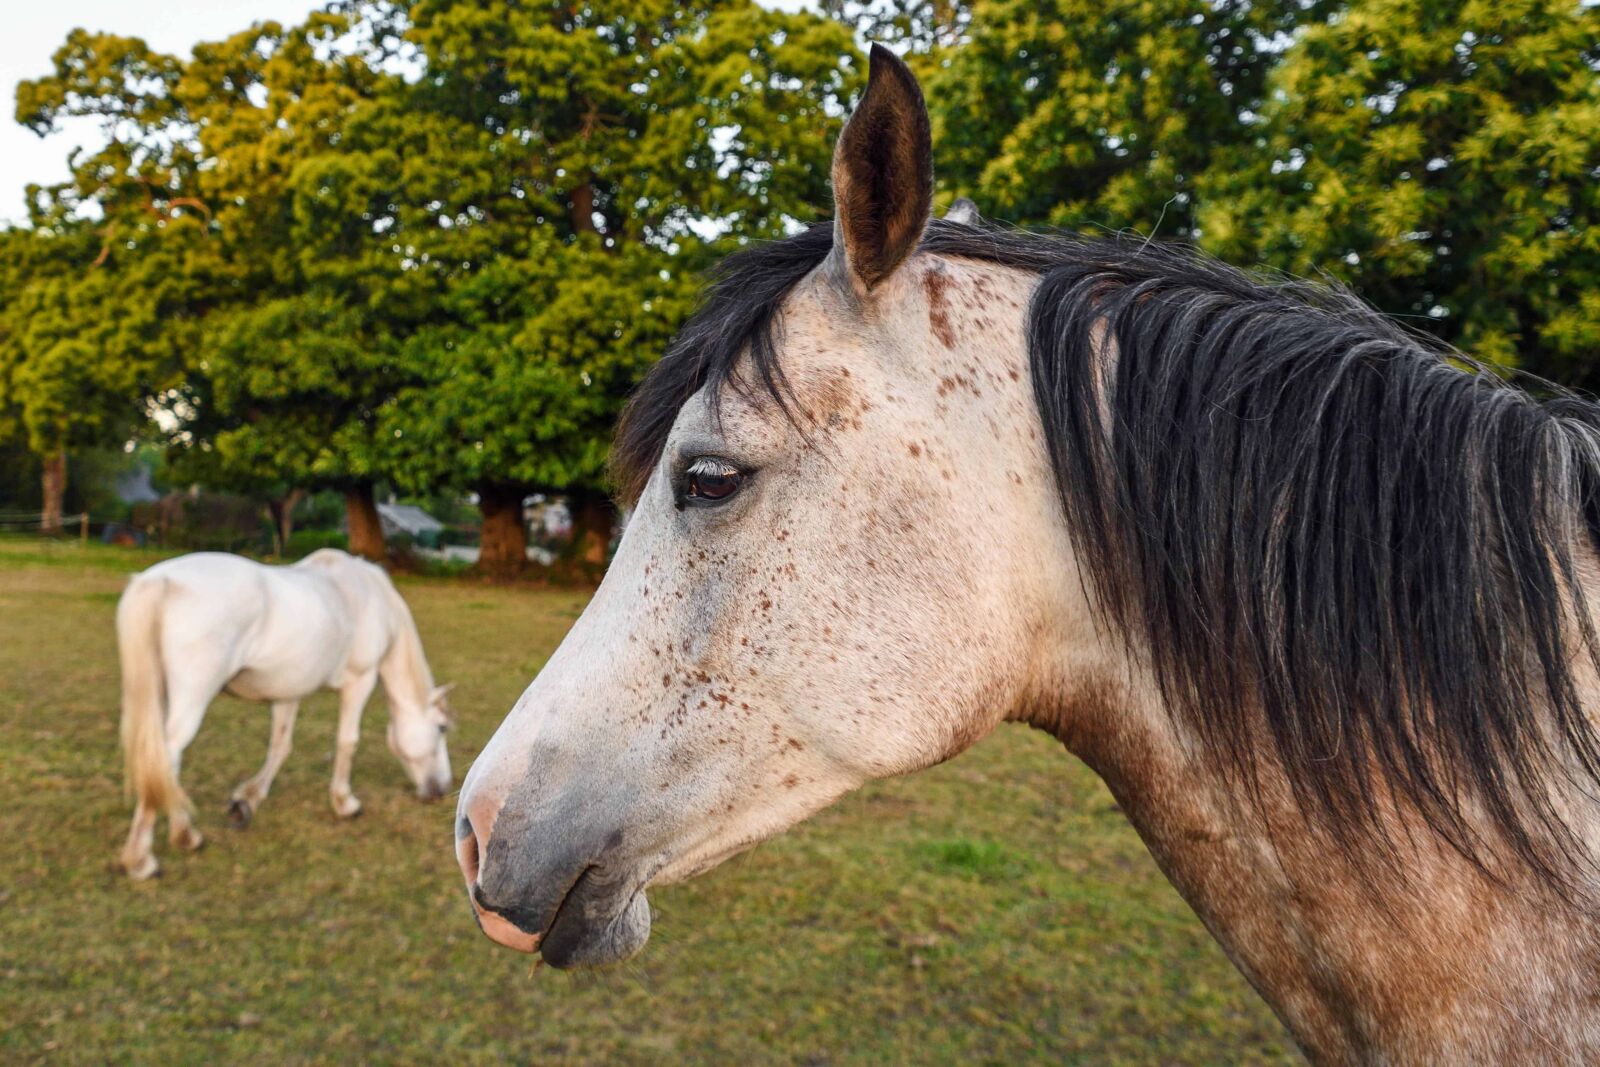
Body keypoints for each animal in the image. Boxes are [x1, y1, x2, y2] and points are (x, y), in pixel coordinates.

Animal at [116, 548, 452, 881]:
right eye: (442, 728)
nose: (443, 789)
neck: (366, 594)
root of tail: (160, 581)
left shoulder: (288, 692)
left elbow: (280, 747)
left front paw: (246, 800)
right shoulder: (361, 680)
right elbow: (347, 742)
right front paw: (345, 803)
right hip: (191, 700)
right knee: (166, 758)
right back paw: (149, 856)